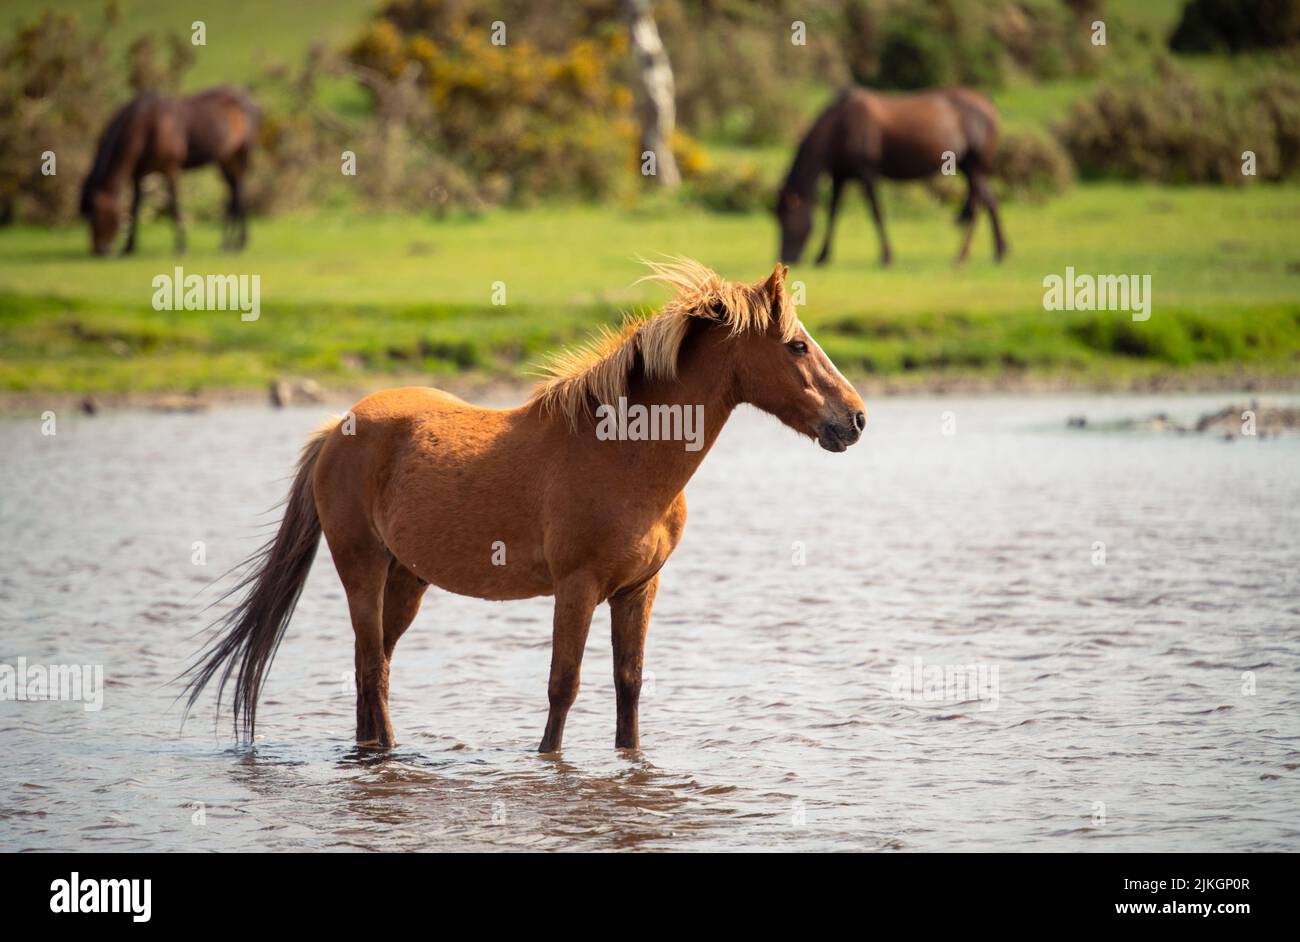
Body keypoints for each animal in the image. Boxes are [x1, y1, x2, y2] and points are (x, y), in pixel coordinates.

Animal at [80, 87, 258, 255]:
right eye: (87, 217)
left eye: (96, 214)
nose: (100, 250)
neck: (148, 125)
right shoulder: (138, 174)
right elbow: (134, 206)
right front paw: (129, 247)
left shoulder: (171, 168)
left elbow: (174, 204)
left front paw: (181, 246)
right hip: (225, 159)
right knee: (233, 192)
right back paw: (228, 243)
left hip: (241, 155)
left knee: (239, 193)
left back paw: (237, 243)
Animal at [183, 261, 868, 753]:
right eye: (797, 346)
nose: (856, 419)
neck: (625, 453)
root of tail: (337, 428)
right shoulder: (577, 586)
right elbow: (563, 686)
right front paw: (547, 761)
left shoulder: (638, 589)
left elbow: (629, 686)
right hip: (362, 567)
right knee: (373, 670)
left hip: (406, 580)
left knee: (369, 670)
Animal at [774, 85, 1008, 266]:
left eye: (787, 222)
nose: (785, 258)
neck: (840, 126)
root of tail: (987, 102)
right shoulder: (840, 176)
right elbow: (833, 213)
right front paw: (822, 256)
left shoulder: (867, 174)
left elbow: (876, 212)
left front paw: (887, 256)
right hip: (969, 166)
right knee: (990, 201)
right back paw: (1000, 251)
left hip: (975, 167)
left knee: (980, 204)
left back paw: (963, 255)